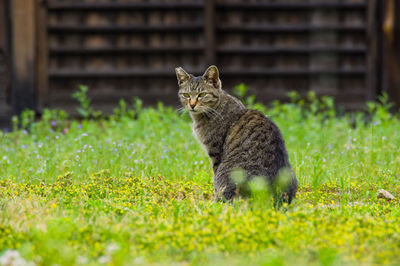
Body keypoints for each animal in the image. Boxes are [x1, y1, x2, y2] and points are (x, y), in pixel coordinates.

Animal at [175, 66, 296, 204]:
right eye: (186, 95)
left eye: (202, 94)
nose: (192, 105)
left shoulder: (216, 153)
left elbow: (215, 182)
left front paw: (215, 202)